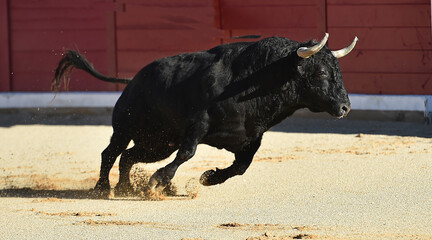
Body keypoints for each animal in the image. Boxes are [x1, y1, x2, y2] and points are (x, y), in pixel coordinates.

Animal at [52, 33, 356, 199]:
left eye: (338, 71)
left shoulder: (251, 138)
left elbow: (241, 166)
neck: (256, 81)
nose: (345, 108)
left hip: (159, 143)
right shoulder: (198, 124)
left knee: (127, 157)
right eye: (322, 73)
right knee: (111, 153)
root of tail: (133, 80)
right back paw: (104, 188)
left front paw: (208, 178)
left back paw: (126, 187)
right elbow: (188, 153)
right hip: (125, 127)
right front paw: (158, 182)